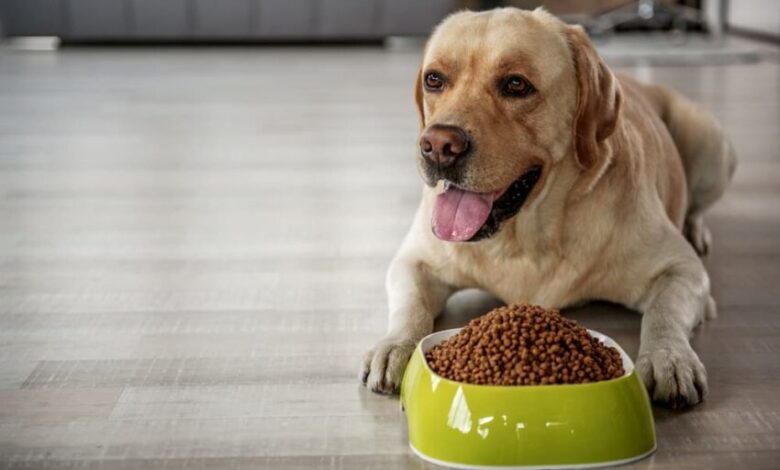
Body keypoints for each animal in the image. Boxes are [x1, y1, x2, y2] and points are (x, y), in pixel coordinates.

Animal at [360, 9, 736, 410]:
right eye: (434, 80)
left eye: (516, 85)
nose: (438, 146)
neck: (525, 237)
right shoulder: (413, 261)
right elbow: (411, 306)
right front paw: (395, 346)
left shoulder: (682, 270)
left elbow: (663, 313)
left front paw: (669, 358)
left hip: (711, 144)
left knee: (697, 207)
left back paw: (696, 230)